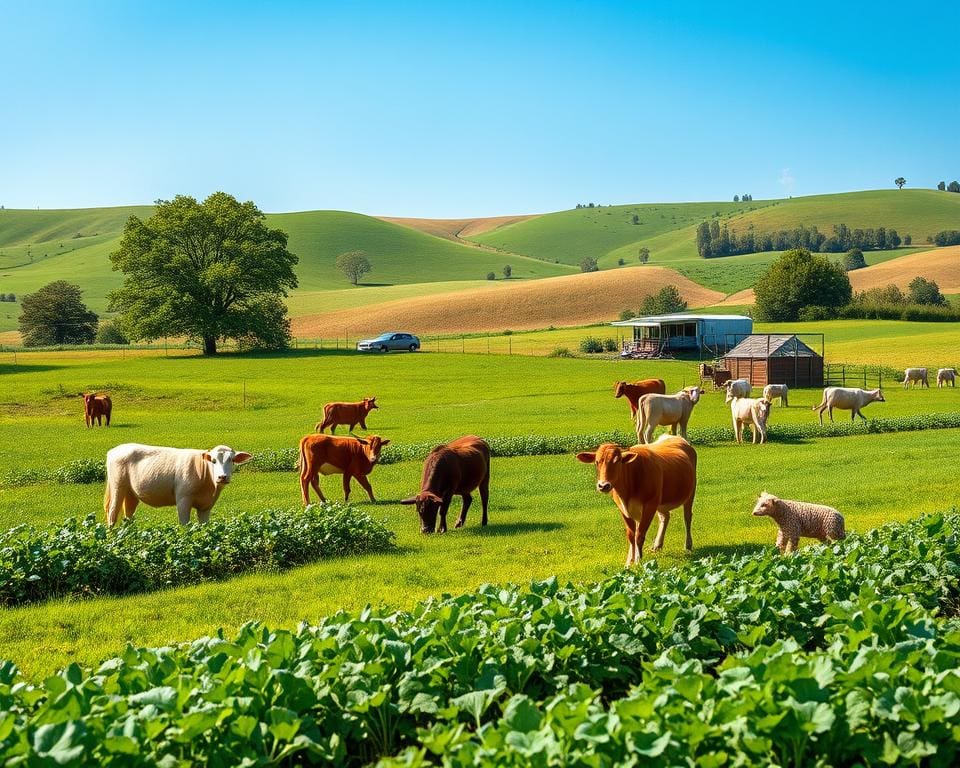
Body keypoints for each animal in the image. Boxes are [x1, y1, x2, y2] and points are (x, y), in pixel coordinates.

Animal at [104, 440, 251, 524]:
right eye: (213, 461)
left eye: (232, 460)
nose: (222, 477)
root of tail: (114, 450)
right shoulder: (183, 499)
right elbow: (184, 525)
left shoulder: (206, 505)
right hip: (118, 486)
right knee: (112, 514)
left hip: (131, 493)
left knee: (128, 515)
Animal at [572, 436, 692, 568]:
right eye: (597, 462)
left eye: (617, 461)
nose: (603, 486)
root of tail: (674, 437)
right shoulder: (623, 509)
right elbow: (631, 535)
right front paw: (630, 561)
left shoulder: (650, 505)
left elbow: (639, 535)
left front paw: (638, 561)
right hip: (660, 503)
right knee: (665, 517)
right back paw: (657, 545)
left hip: (690, 492)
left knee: (687, 517)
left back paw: (688, 544)